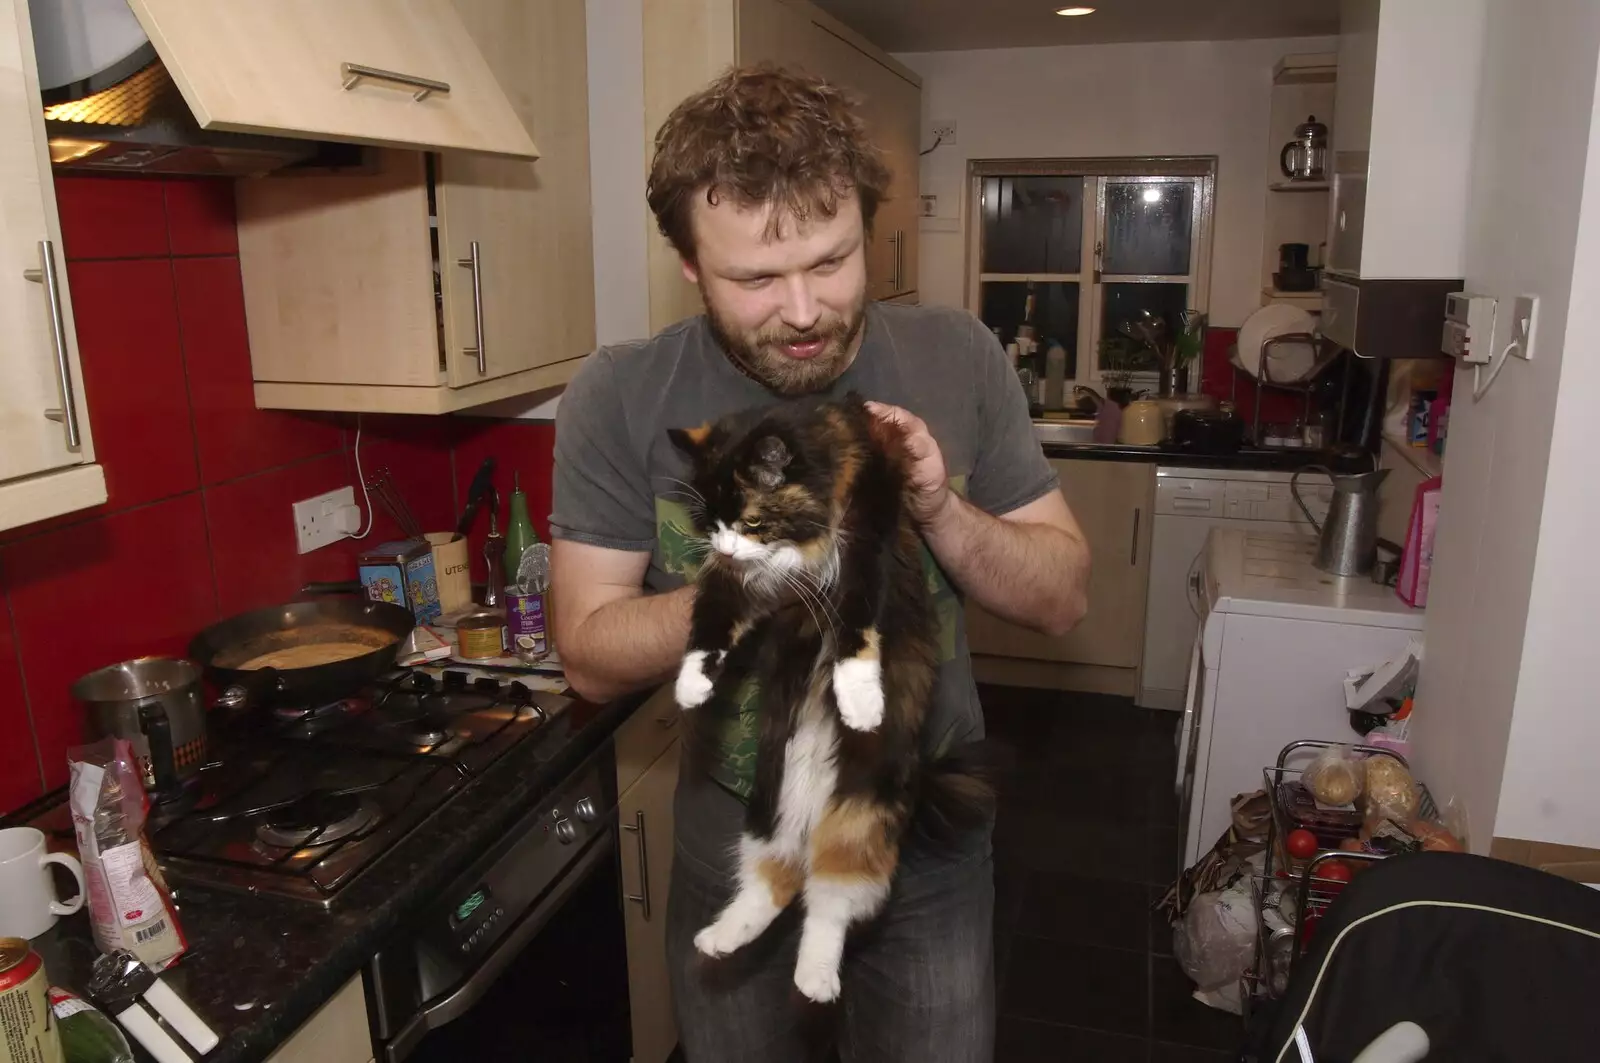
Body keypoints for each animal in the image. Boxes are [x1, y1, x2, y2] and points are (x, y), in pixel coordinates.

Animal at [662, 393, 985, 998]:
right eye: (710, 520)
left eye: (752, 519)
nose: (726, 545)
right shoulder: (736, 579)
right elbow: (711, 618)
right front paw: (692, 685)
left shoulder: (867, 537)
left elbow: (857, 621)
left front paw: (858, 697)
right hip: (770, 802)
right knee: (777, 879)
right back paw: (721, 939)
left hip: (860, 814)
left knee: (831, 903)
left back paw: (814, 979)